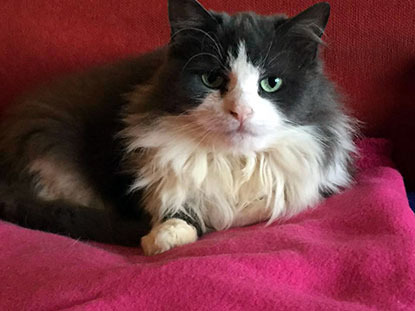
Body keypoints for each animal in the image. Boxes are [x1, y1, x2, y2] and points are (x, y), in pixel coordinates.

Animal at [0, 0, 358, 256]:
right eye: (211, 79)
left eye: (271, 84)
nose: (241, 111)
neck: (234, 163)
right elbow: (184, 206)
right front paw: (162, 236)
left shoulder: (310, 185)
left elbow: (262, 206)